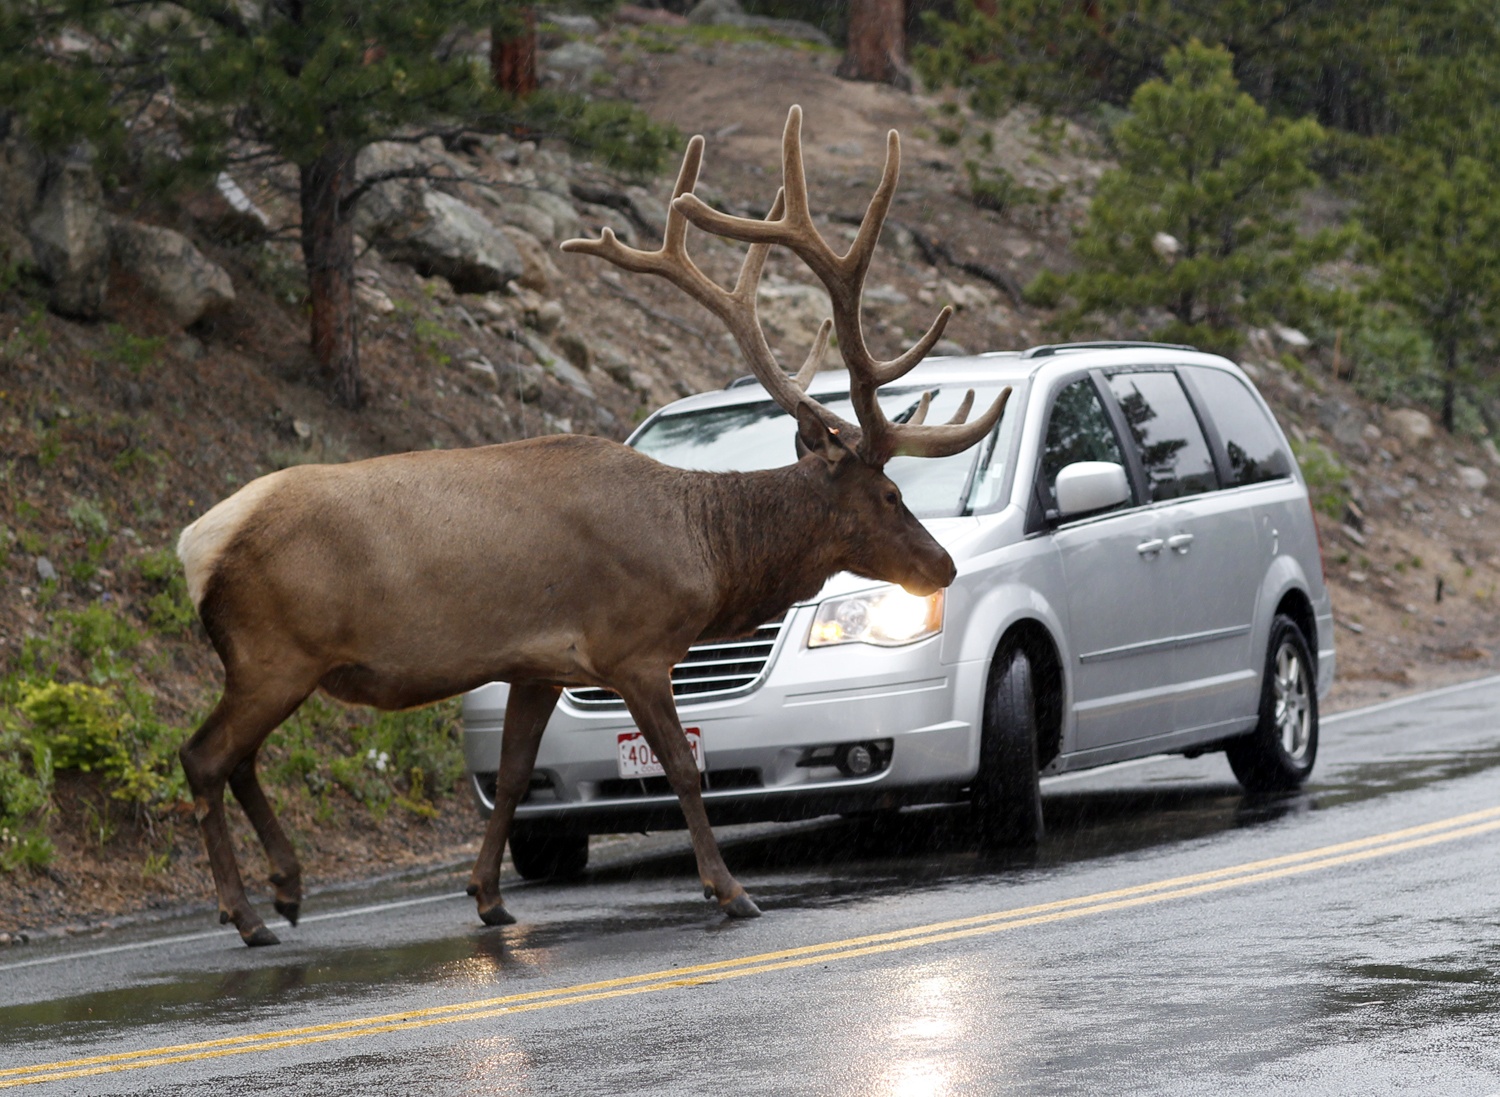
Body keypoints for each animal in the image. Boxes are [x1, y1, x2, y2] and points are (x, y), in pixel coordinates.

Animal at [181, 105, 1014, 942]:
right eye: (890, 495)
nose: (941, 565)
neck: (706, 548)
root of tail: (196, 546)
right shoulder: (635, 646)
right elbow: (682, 768)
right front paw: (729, 889)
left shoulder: (539, 663)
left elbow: (514, 774)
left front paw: (488, 894)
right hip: (273, 652)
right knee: (204, 756)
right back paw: (247, 913)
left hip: (269, 664)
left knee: (238, 759)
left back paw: (287, 888)